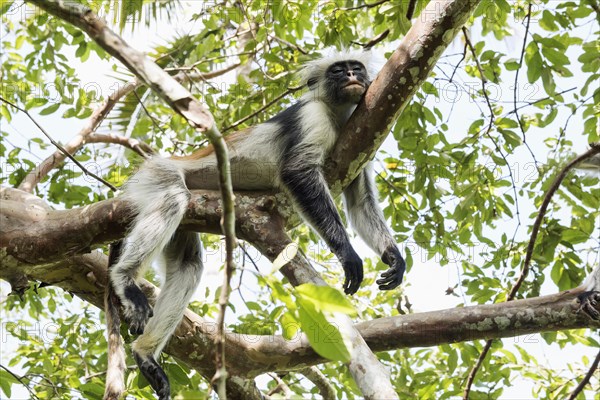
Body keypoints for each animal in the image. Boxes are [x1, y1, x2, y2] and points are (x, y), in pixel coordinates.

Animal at [103, 52, 406, 400]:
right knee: (172, 199)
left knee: (188, 264)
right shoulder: (310, 115)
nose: (352, 76)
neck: (337, 113)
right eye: (338, 71)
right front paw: (348, 255)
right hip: (157, 173)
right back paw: (125, 279)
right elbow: (297, 172)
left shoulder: (361, 139)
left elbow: (360, 203)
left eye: (356, 68)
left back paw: (145, 354)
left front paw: (394, 258)